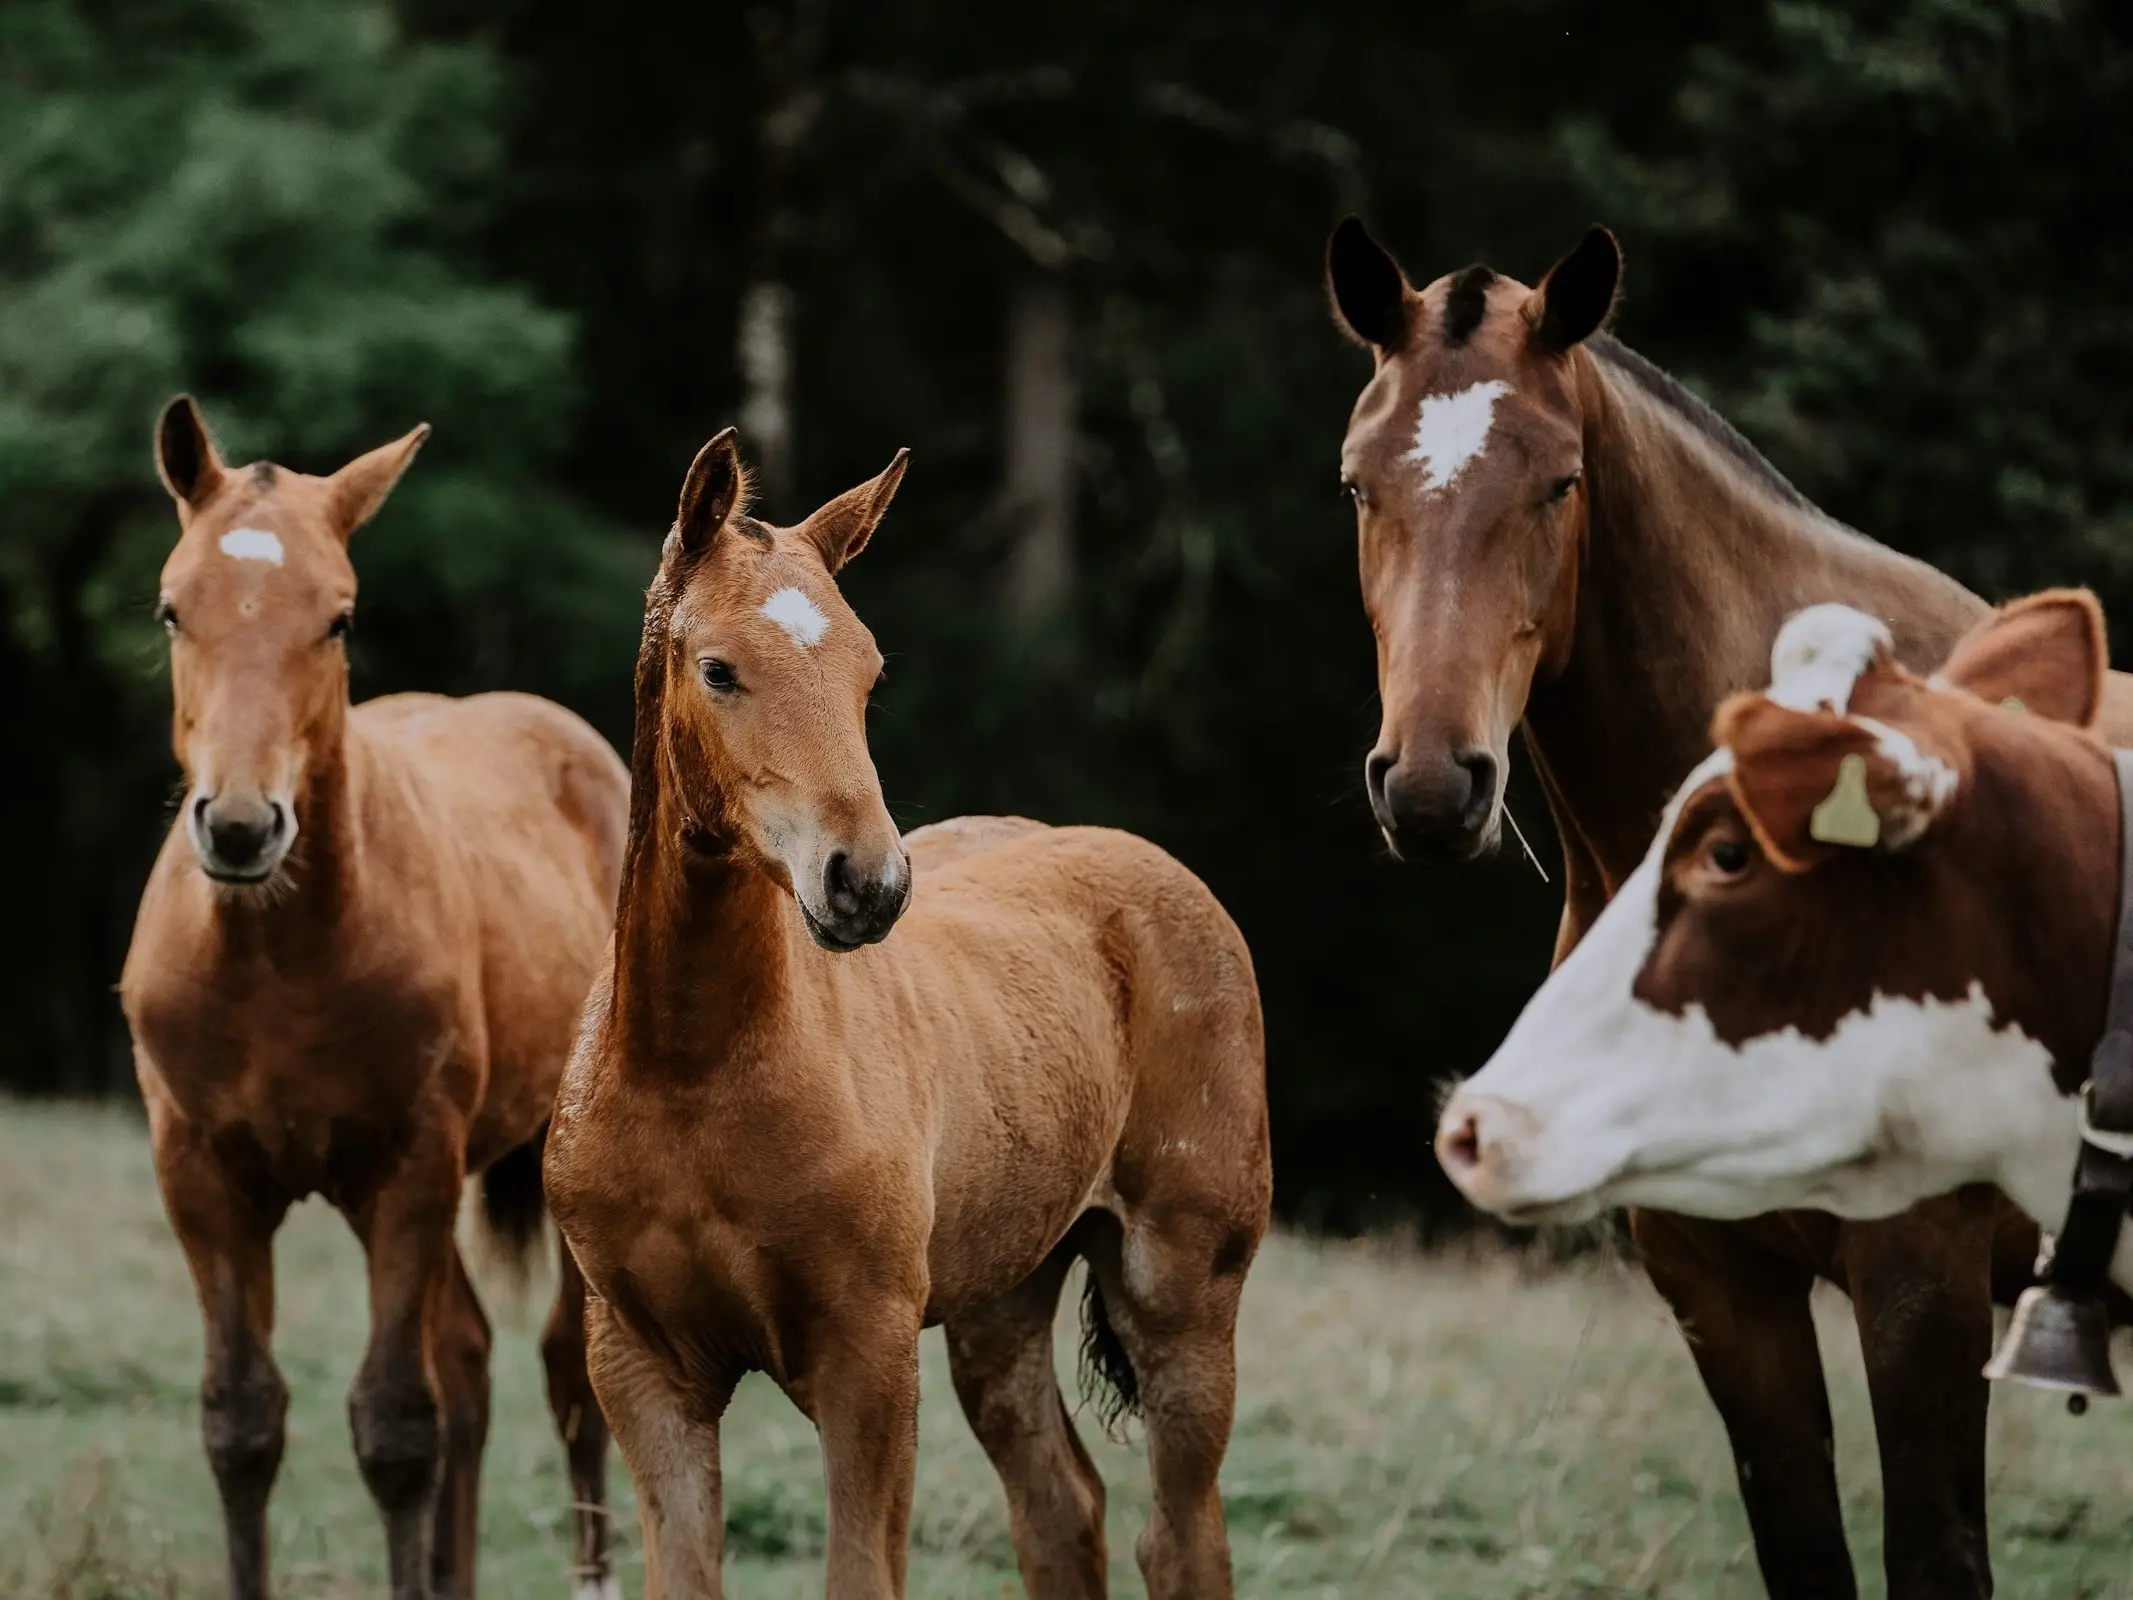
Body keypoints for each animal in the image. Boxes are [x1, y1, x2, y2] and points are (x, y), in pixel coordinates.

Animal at [119, 398, 627, 1600]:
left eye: (337, 618)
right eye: (172, 607)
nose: (241, 826)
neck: (278, 959)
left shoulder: (408, 1166)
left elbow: (396, 1426)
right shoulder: (199, 1176)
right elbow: (242, 1422)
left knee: (565, 1379)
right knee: (472, 1365)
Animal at [550, 433, 1271, 1595]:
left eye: (868, 671)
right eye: (719, 669)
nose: (868, 883)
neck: (690, 1070)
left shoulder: (868, 1357)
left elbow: (861, 1573)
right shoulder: (641, 1366)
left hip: (1182, 1287)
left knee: (1181, 1536)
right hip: (1000, 1299)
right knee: (1061, 1508)